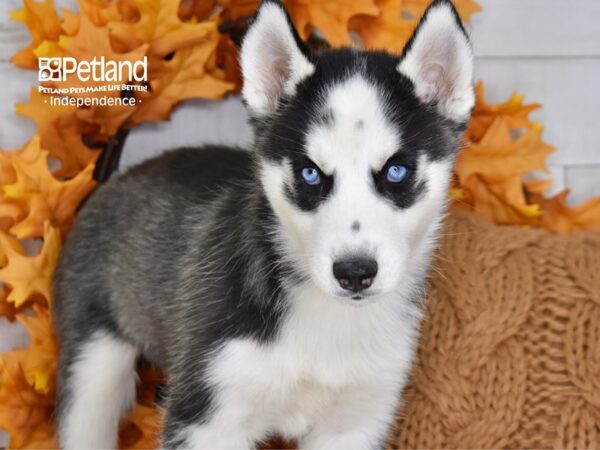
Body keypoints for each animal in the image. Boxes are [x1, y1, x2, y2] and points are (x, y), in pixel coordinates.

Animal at [52, 0, 474, 446]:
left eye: (396, 171)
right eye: (310, 173)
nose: (355, 273)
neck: (327, 322)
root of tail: (118, 178)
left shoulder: (355, 422)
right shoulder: (207, 415)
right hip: (93, 363)